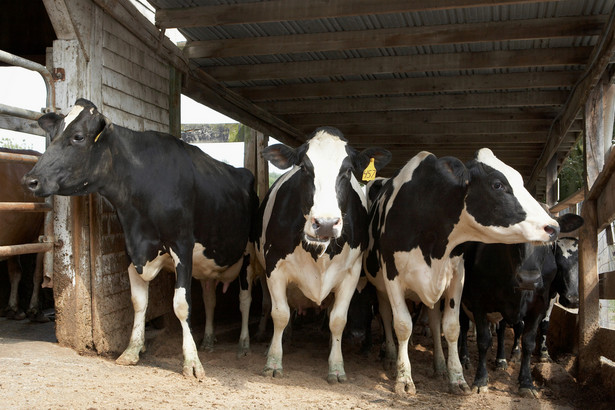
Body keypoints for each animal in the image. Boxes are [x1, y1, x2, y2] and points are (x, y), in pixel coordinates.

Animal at [22, 98, 258, 378]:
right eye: (53, 134)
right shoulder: (132, 248)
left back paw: (244, 344)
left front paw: (191, 362)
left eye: (78, 136)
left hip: (249, 255)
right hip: (208, 263)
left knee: (245, 300)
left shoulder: (182, 246)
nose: (30, 180)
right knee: (210, 300)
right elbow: (138, 301)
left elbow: (181, 305)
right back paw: (209, 340)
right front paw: (132, 350)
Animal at [255, 126, 390, 382]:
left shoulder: (352, 273)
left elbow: (337, 320)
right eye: (304, 168)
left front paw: (336, 367)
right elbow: (280, 314)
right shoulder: (274, 268)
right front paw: (273, 361)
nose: (326, 224)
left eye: (347, 171)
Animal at [366, 150, 564, 398]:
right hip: (379, 286)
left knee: (434, 321)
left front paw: (457, 377)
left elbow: (451, 327)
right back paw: (391, 355)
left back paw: (440, 365)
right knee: (385, 315)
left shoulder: (456, 276)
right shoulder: (392, 275)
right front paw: (404, 379)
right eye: (498, 184)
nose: (553, 227)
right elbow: (402, 325)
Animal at [460, 213, 584, 396]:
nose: (573, 300)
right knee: (462, 327)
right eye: (560, 265)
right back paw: (464, 357)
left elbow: (529, 340)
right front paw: (481, 380)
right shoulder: (478, 302)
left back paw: (501, 360)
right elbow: (483, 340)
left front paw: (527, 380)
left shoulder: (541, 304)